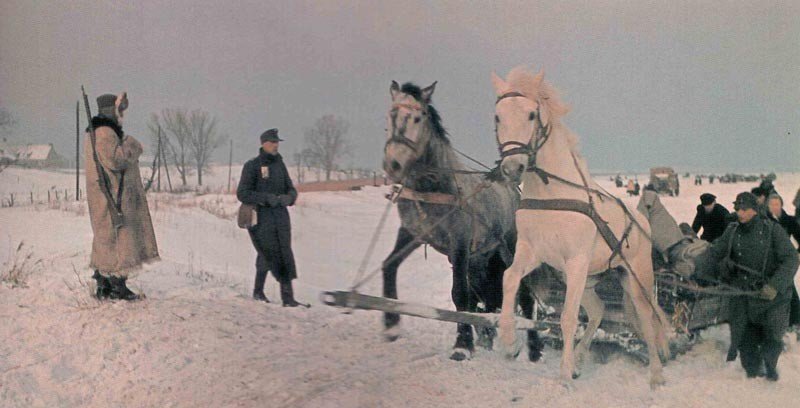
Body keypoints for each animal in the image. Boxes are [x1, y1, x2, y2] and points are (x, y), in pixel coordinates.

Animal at [382, 80, 544, 360]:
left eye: (418, 117)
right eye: (392, 114)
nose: (393, 163)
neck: (432, 186)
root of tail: (513, 190)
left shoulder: (459, 241)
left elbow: (459, 293)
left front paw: (462, 345)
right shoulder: (413, 232)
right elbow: (389, 265)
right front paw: (391, 325)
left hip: (510, 250)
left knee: (524, 295)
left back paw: (533, 348)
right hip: (481, 259)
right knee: (489, 297)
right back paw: (489, 336)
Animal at [494, 67, 668, 388]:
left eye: (531, 115)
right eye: (498, 116)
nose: (512, 169)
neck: (551, 193)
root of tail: (642, 221)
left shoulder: (575, 261)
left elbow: (567, 318)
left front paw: (564, 375)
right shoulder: (532, 252)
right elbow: (509, 278)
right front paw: (509, 341)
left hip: (634, 277)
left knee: (647, 320)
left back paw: (656, 374)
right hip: (587, 279)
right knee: (598, 311)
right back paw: (580, 358)